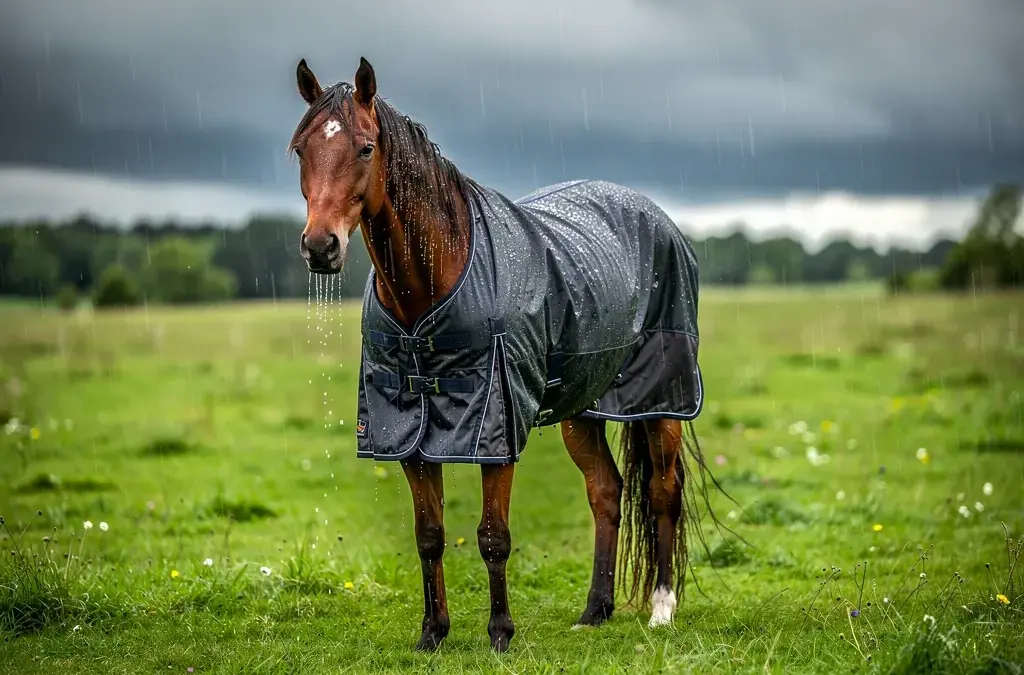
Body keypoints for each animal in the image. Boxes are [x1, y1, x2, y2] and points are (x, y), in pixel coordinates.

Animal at [289, 56, 720, 653]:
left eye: (366, 148)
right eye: (301, 149)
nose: (320, 246)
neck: (429, 288)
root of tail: (656, 216)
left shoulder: (495, 425)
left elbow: (493, 536)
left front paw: (499, 633)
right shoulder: (406, 430)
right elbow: (429, 535)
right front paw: (432, 633)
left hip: (661, 401)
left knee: (662, 492)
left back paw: (661, 608)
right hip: (582, 408)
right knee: (606, 492)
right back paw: (595, 610)